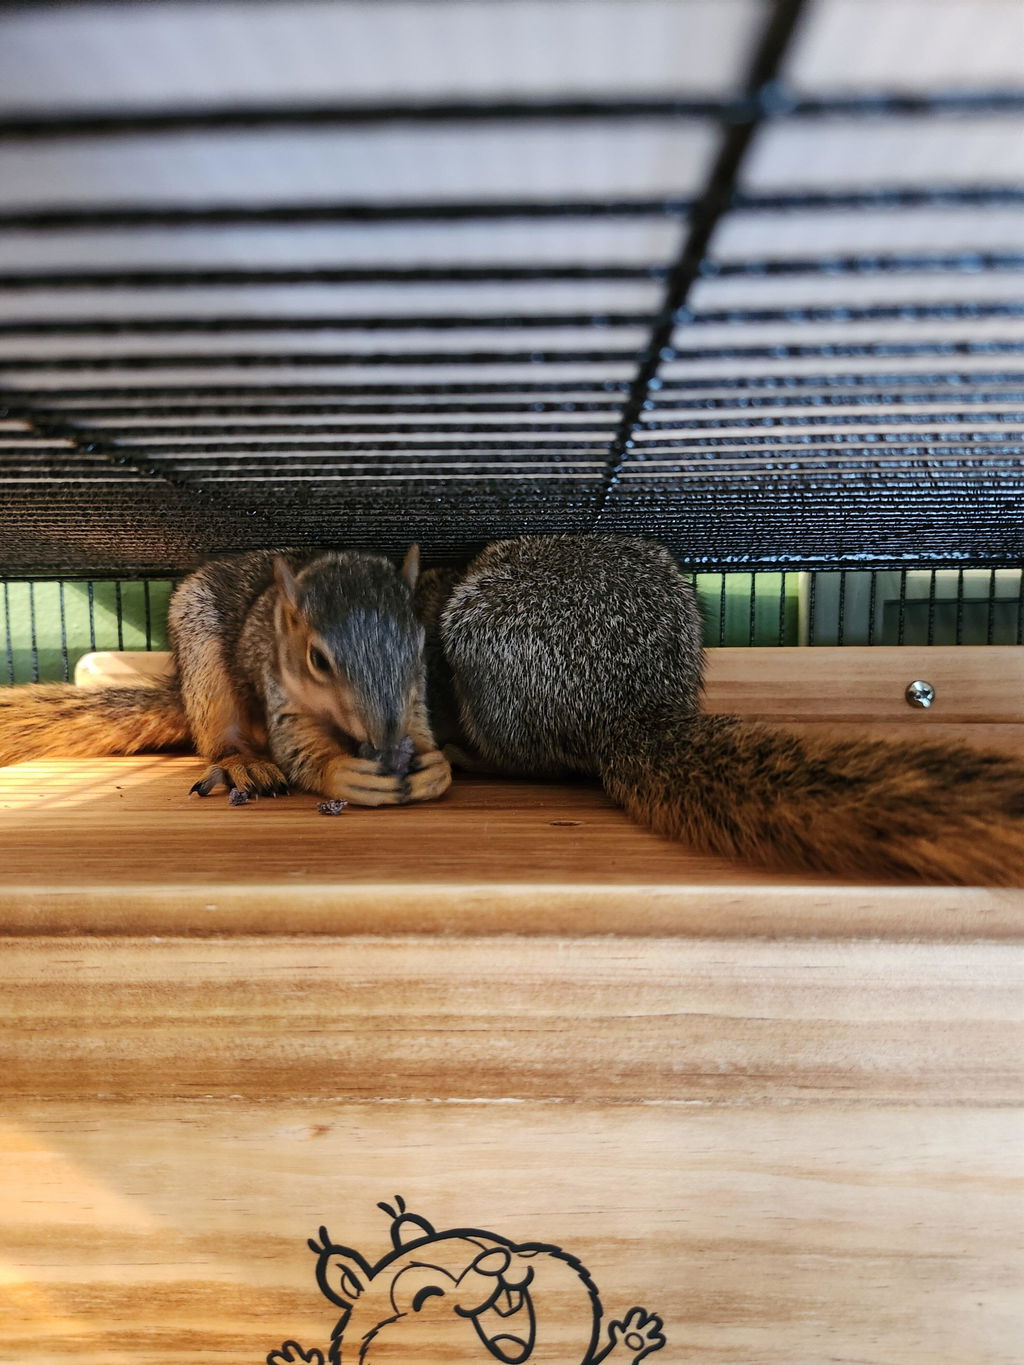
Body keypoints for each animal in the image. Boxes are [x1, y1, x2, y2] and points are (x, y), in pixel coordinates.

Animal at [0, 546, 452, 806]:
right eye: (318, 660)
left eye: (419, 643)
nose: (386, 740)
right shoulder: (281, 693)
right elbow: (299, 750)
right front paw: (342, 773)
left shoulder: (413, 696)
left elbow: (419, 726)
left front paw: (434, 766)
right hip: (204, 665)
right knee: (220, 739)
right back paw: (245, 765)